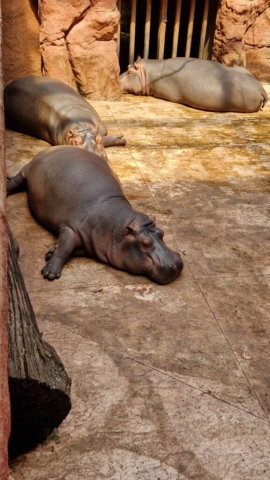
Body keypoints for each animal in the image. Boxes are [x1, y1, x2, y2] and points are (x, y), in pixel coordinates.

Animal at [6, 144, 184, 284]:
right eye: (145, 243)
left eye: (162, 232)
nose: (177, 263)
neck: (116, 228)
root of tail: (54, 147)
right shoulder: (70, 227)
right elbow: (65, 247)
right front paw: (50, 273)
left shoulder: (93, 244)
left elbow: (72, 249)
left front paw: (50, 253)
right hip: (26, 170)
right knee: (16, 180)